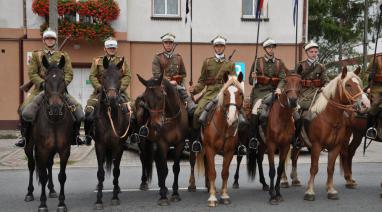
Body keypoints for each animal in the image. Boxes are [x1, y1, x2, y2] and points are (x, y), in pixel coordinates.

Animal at [29, 55, 73, 212]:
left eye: (63, 80)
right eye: (46, 81)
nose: (55, 108)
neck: (54, 120)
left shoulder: (64, 150)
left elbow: (62, 176)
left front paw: (61, 203)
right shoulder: (42, 150)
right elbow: (42, 176)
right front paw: (42, 204)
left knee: (49, 164)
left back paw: (52, 190)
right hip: (30, 147)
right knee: (31, 165)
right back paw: (29, 193)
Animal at [92, 56, 134, 210]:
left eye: (119, 77)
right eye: (104, 76)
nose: (111, 98)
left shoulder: (119, 147)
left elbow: (116, 171)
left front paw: (115, 197)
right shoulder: (99, 146)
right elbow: (100, 173)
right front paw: (98, 200)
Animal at [197, 73, 245, 207]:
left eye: (240, 93)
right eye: (225, 93)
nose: (232, 118)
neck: (224, 127)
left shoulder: (229, 152)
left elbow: (224, 173)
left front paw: (224, 196)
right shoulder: (210, 149)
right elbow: (213, 172)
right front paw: (212, 198)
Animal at [302, 67, 370, 200]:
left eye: (359, 84)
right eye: (348, 85)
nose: (365, 104)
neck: (329, 117)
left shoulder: (335, 147)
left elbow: (330, 168)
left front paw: (330, 190)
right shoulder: (316, 146)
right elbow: (314, 168)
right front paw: (310, 191)